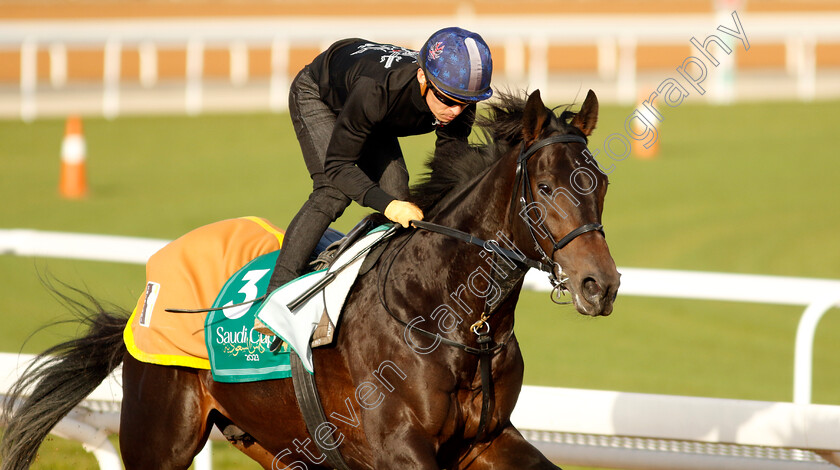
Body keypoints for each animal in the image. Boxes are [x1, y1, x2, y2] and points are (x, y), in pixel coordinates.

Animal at [0, 89, 616, 470]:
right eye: (543, 186)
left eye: (602, 181)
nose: (600, 285)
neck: (445, 314)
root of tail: (141, 306)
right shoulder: (400, 449)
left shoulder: (485, 440)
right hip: (160, 437)